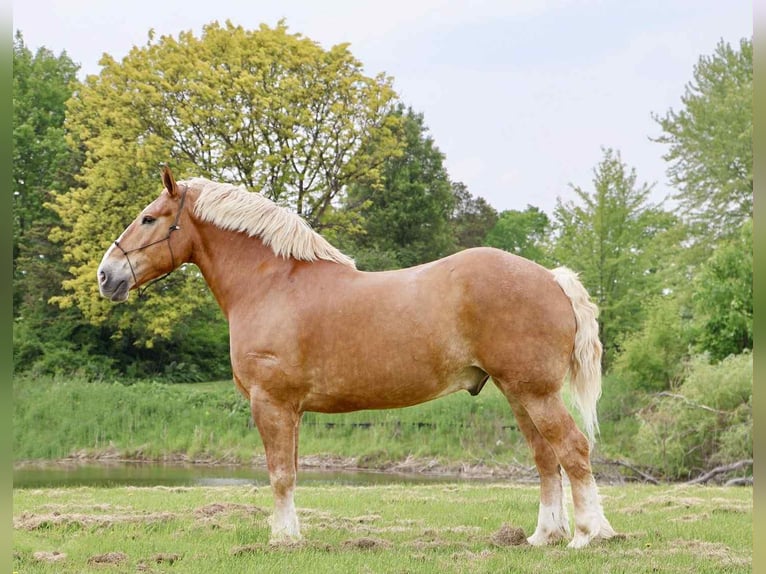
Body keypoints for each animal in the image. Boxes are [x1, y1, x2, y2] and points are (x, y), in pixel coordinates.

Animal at [97, 166, 616, 549]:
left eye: (148, 218)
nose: (107, 275)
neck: (272, 284)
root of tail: (552, 278)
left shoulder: (271, 403)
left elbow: (279, 474)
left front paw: (282, 540)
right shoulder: (291, 410)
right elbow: (290, 472)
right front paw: (292, 535)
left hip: (535, 392)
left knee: (573, 449)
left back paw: (589, 535)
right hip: (518, 393)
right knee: (546, 459)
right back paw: (543, 536)